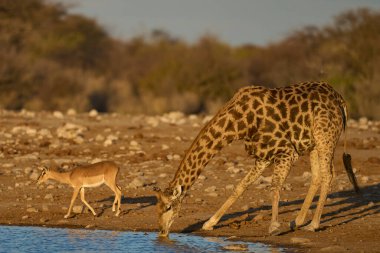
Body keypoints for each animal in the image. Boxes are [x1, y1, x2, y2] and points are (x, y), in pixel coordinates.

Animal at [154, 81, 360, 237]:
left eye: (169, 207)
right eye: (157, 208)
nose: (162, 232)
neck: (239, 124)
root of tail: (340, 100)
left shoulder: (286, 151)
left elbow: (275, 185)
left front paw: (274, 227)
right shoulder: (263, 156)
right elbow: (240, 187)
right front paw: (209, 223)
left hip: (325, 137)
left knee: (328, 175)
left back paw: (313, 224)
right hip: (314, 144)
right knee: (317, 176)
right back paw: (297, 221)